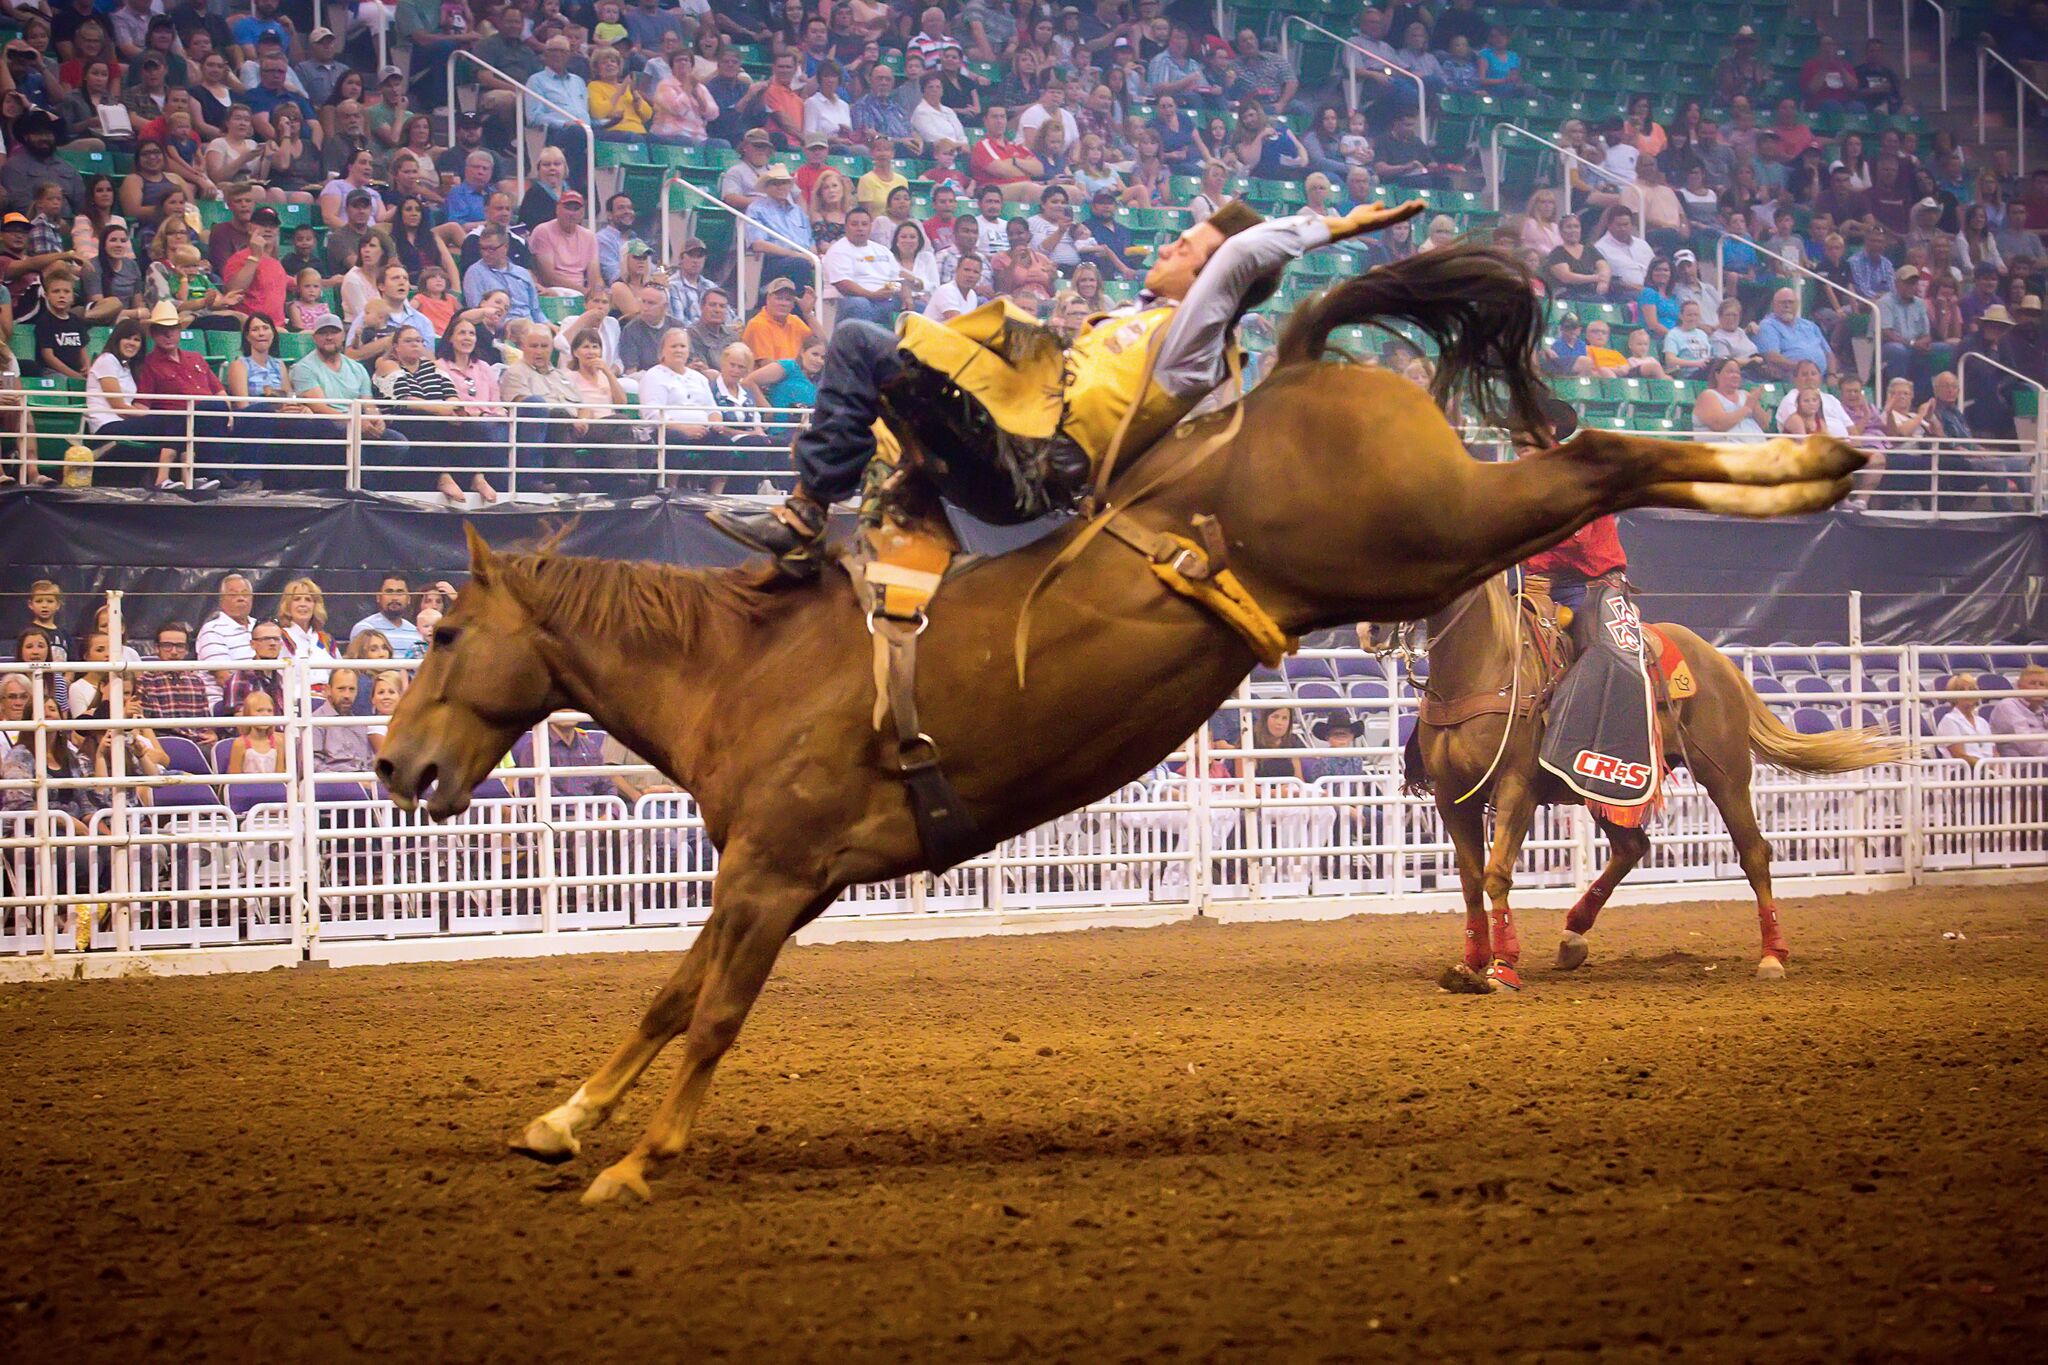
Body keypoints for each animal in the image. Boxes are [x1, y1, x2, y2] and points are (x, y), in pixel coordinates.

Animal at [1409, 573, 1900, 994]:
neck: (1485, 666)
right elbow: (1470, 880)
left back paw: (1772, 956)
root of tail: (1720, 661)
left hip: (1724, 775)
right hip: (1608, 786)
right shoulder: (1450, 797)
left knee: (1754, 853)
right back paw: (1573, 936)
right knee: (1632, 847)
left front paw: (1504, 966)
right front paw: (1471, 963)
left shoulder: (1517, 786)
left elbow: (1496, 874)